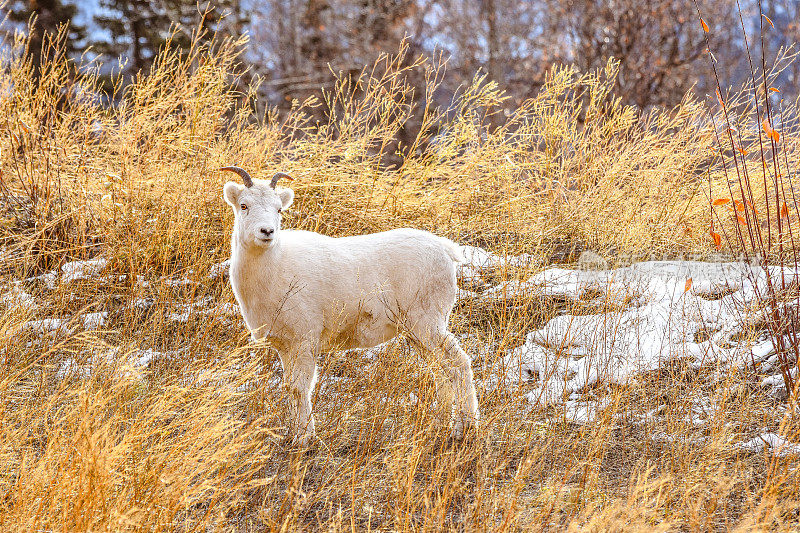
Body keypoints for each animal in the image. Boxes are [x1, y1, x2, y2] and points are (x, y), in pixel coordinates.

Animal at [220, 167, 482, 444]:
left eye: (279, 209)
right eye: (244, 205)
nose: (267, 231)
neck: (275, 269)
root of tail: (445, 249)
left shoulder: (305, 340)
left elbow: (300, 387)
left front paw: (304, 440)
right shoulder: (284, 345)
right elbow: (290, 387)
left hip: (427, 323)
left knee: (458, 363)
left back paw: (464, 428)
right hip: (416, 333)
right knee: (440, 369)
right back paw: (440, 425)